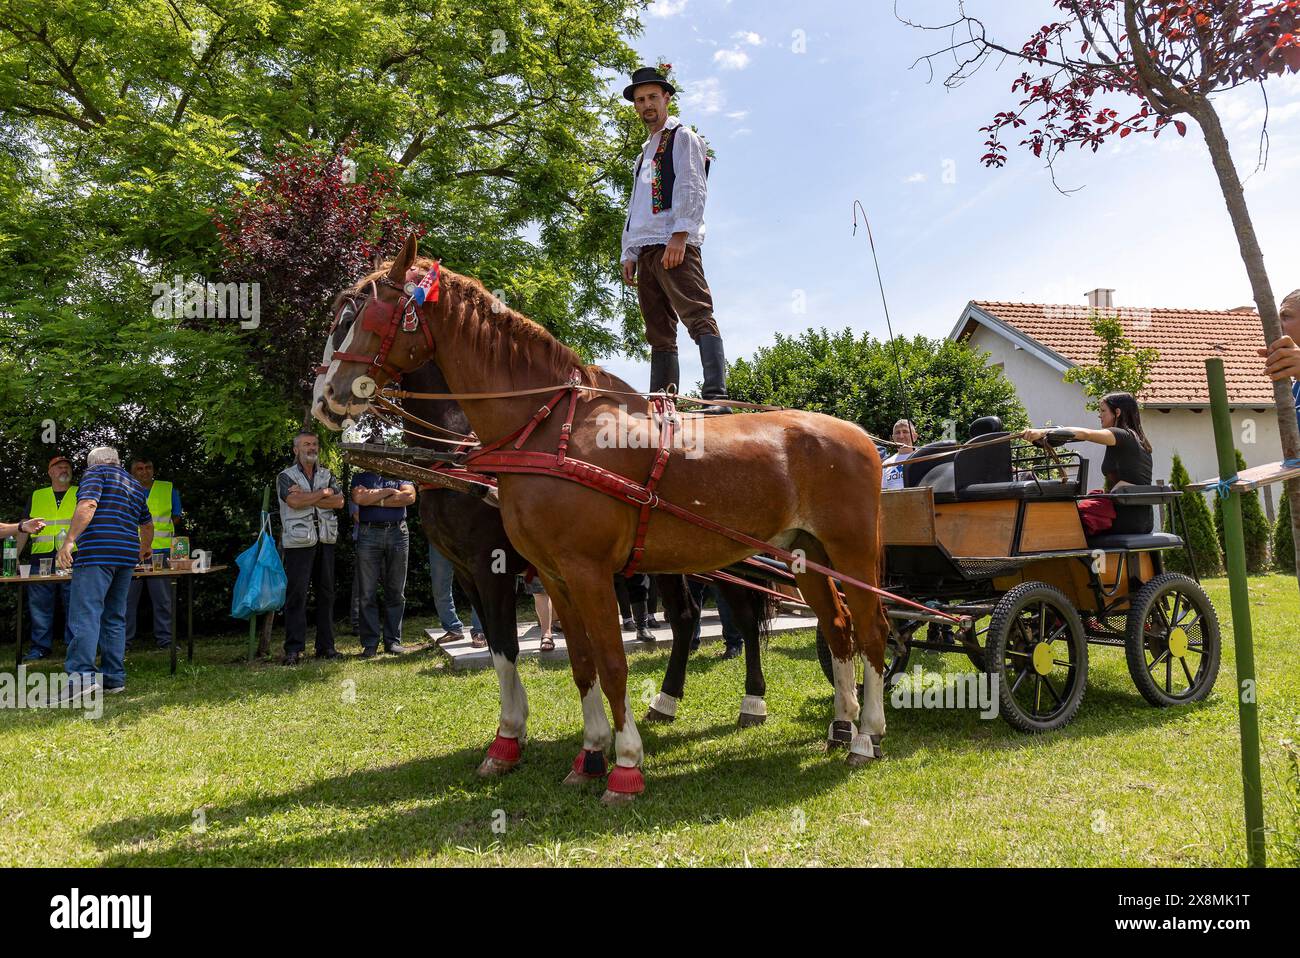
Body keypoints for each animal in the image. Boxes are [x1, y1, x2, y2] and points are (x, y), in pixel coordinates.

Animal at [318, 237, 889, 800]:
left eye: (365, 315)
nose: (325, 397)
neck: (546, 431)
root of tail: (863, 437)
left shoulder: (574, 571)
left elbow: (608, 663)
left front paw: (623, 765)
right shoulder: (550, 575)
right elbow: (580, 663)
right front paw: (590, 754)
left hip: (848, 554)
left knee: (866, 630)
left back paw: (863, 736)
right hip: (803, 555)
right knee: (836, 628)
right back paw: (840, 724)